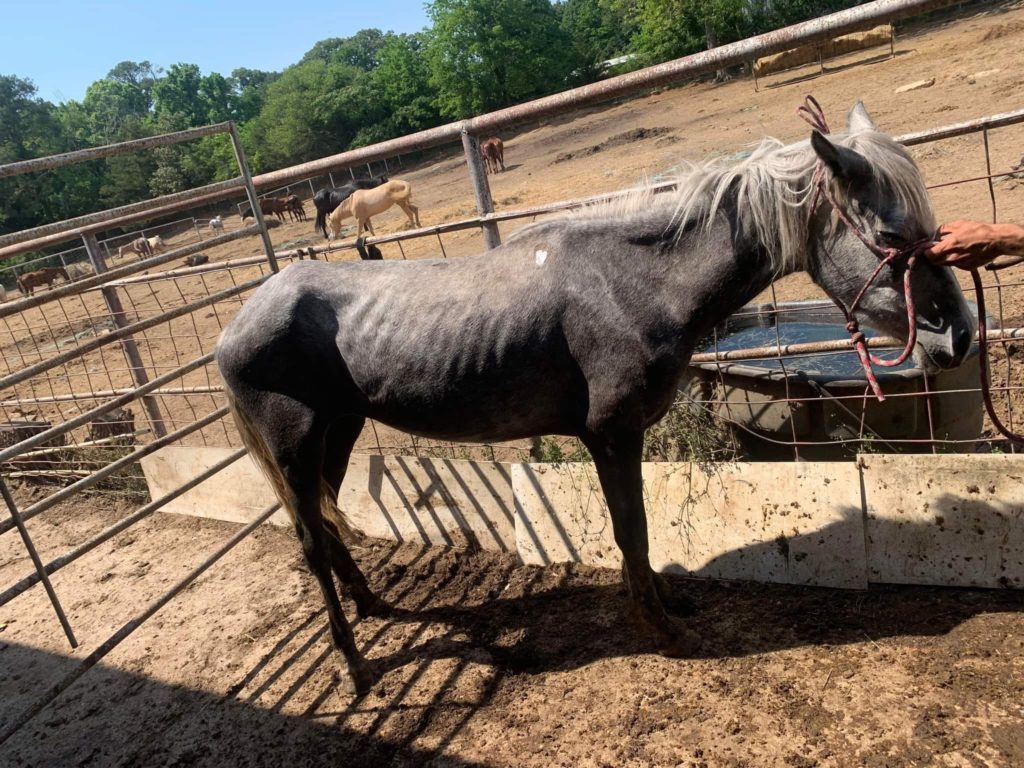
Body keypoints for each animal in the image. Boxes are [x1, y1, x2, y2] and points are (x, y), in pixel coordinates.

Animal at [218, 99, 974, 696]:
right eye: (890, 236)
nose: (959, 336)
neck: (630, 283)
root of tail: (238, 323)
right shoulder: (612, 433)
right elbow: (630, 529)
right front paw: (658, 626)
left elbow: (639, 529)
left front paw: (669, 603)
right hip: (294, 445)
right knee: (310, 542)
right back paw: (353, 663)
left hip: (338, 432)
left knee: (324, 519)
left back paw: (373, 604)